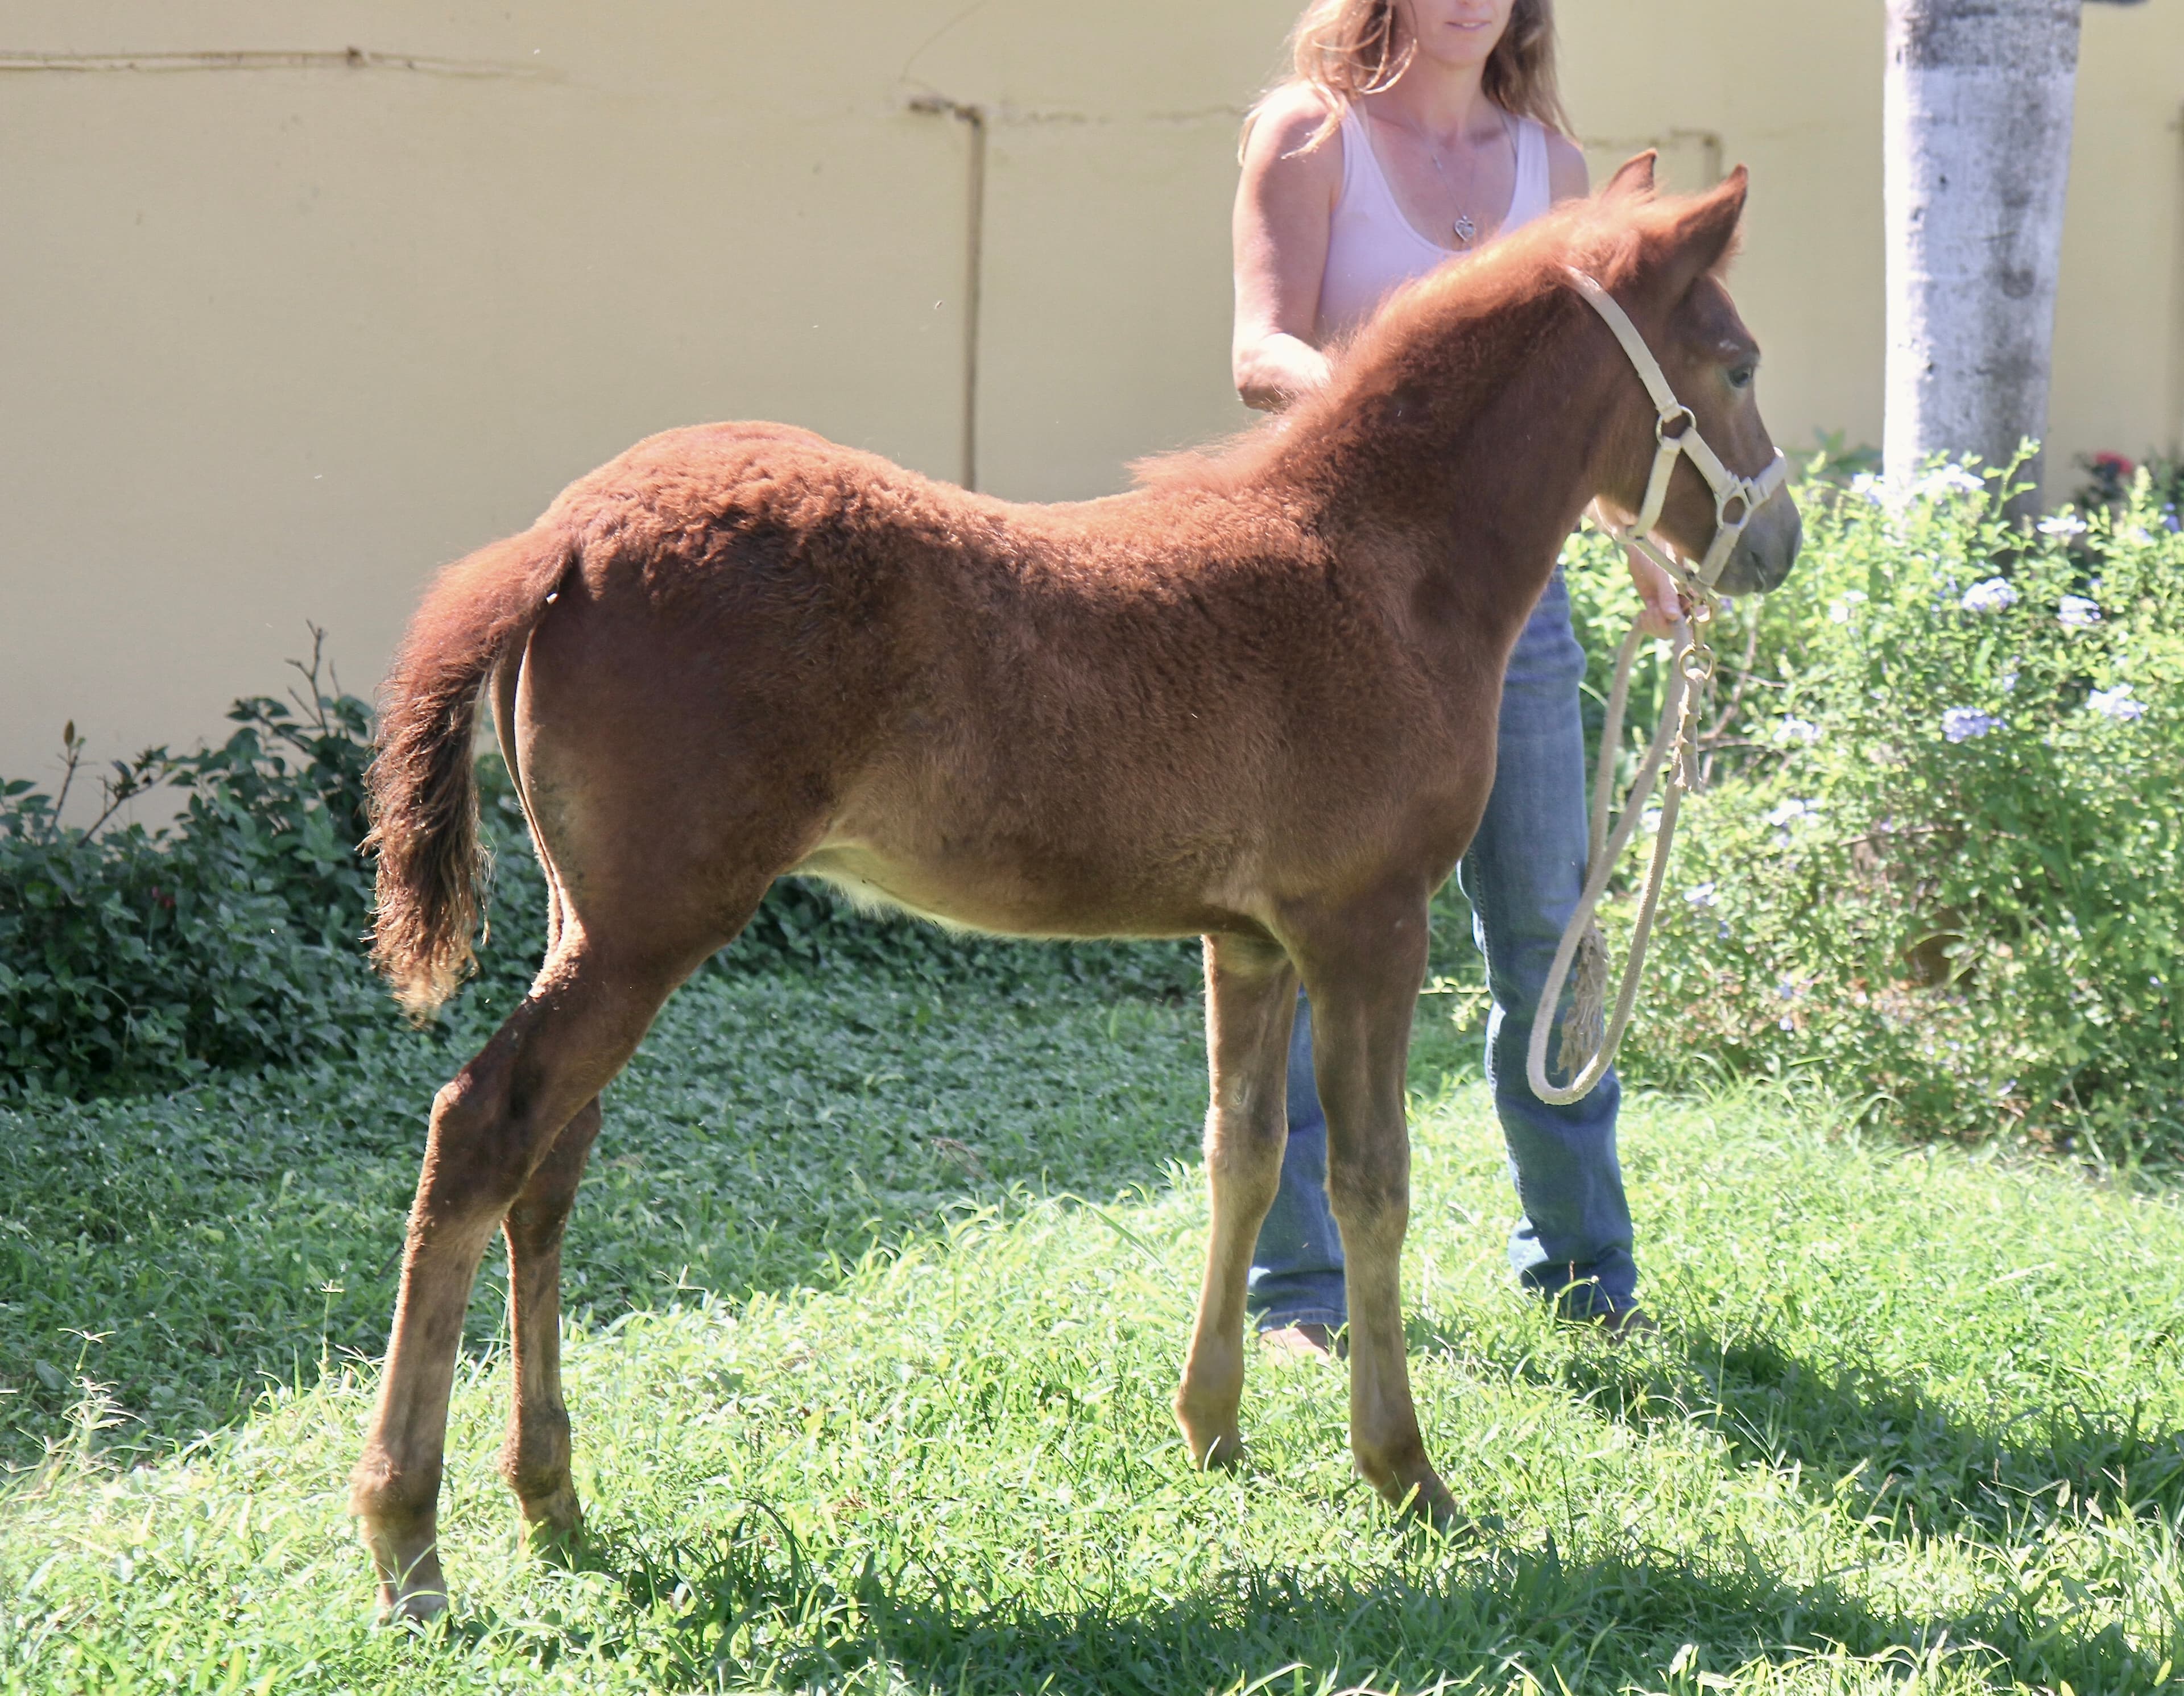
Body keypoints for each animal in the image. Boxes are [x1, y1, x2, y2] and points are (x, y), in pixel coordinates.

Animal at [350, 154, 1801, 1619]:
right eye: (1734, 361)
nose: (1777, 543)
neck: (1381, 570)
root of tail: (564, 535)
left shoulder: (1251, 941)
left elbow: (1242, 1156)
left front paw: (1211, 1426)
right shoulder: (1367, 926)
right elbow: (1373, 1184)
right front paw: (1405, 1475)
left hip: (591, 921)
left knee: (552, 1164)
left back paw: (550, 1500)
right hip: (650, 930)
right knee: (481, 1130)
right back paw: (408, 1537)